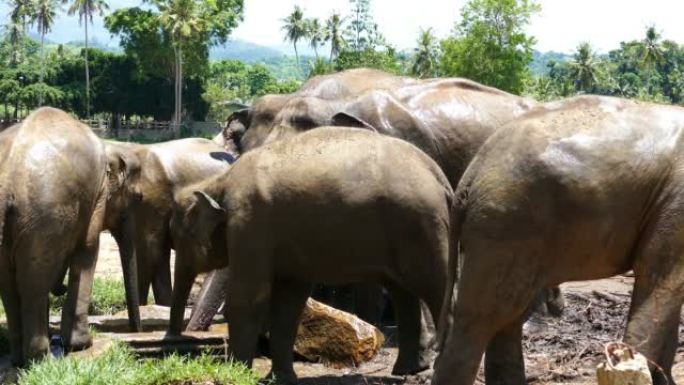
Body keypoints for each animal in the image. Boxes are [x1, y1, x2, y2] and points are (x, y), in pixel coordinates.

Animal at [0, 108, 108, 364]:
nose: (60, 288)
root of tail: (7, 180)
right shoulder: (98, 191)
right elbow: (88, 249)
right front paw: (82, 345)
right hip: (45, 214)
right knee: (33, 282)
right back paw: (41, 358)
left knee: (10, 284)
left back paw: (20, 359)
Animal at [168, 127, 452, 382]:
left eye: (180, 237)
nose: (174, 339)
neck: (219, 182)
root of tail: (439, 176)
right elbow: (289, 302)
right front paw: (279, 379)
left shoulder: (249, 224)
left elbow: (248, 297)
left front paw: (238, 374)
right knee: (403, 291)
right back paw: (407, 371)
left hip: (421, 225)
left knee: (434, 286)